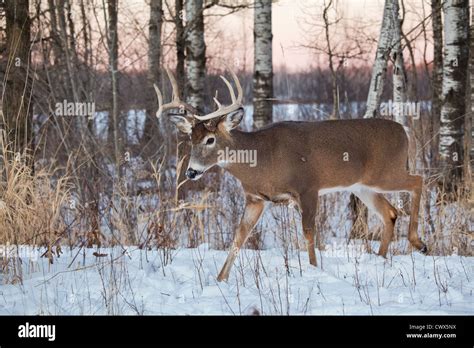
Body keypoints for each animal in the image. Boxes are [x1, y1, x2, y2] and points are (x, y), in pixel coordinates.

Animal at [154, 68, 428, 282]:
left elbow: (308, 232)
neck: (261, 160)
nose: (191, 171)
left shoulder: (308, 187)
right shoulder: (256, 198)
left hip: (385, 172)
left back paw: (418, 242)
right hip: (363, 186)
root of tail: (404, 130)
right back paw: (382, 258)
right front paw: (221, 278)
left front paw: (314, 269)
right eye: (191, 139)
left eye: (210, 139)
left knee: (418, 181)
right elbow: (239, 235)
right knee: (390, 213)